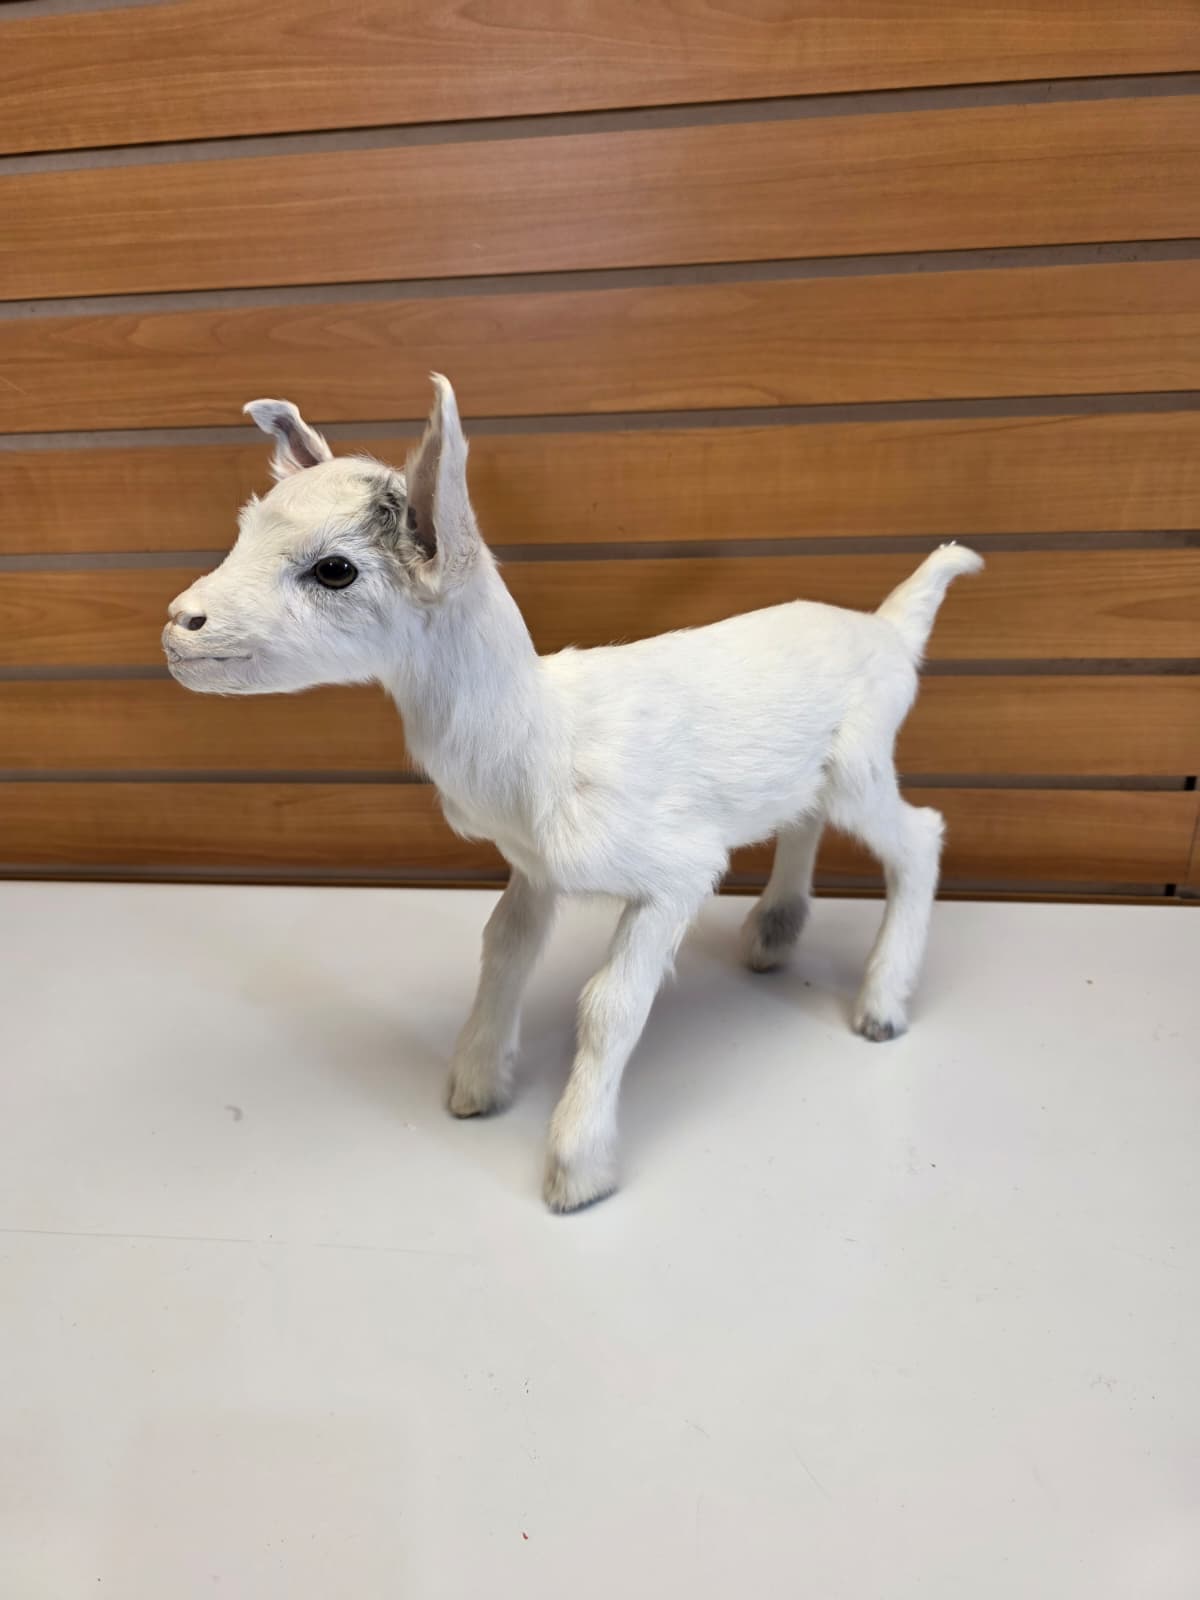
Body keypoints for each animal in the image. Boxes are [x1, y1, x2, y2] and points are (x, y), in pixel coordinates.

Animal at [164, 376, 982, 1211]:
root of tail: (891, 630)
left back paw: (882, 1008)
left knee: (921, 835)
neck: (546, 742)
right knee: (805, 820)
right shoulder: (536, 869)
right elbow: (502, 950)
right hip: (816, 772)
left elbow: (608, 1004)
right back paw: (773, 936)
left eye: (334, 569)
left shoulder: (678, 872)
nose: (179, 623)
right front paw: (475, 1086)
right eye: (244, 530)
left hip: (863, 761)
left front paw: (577, 1167)